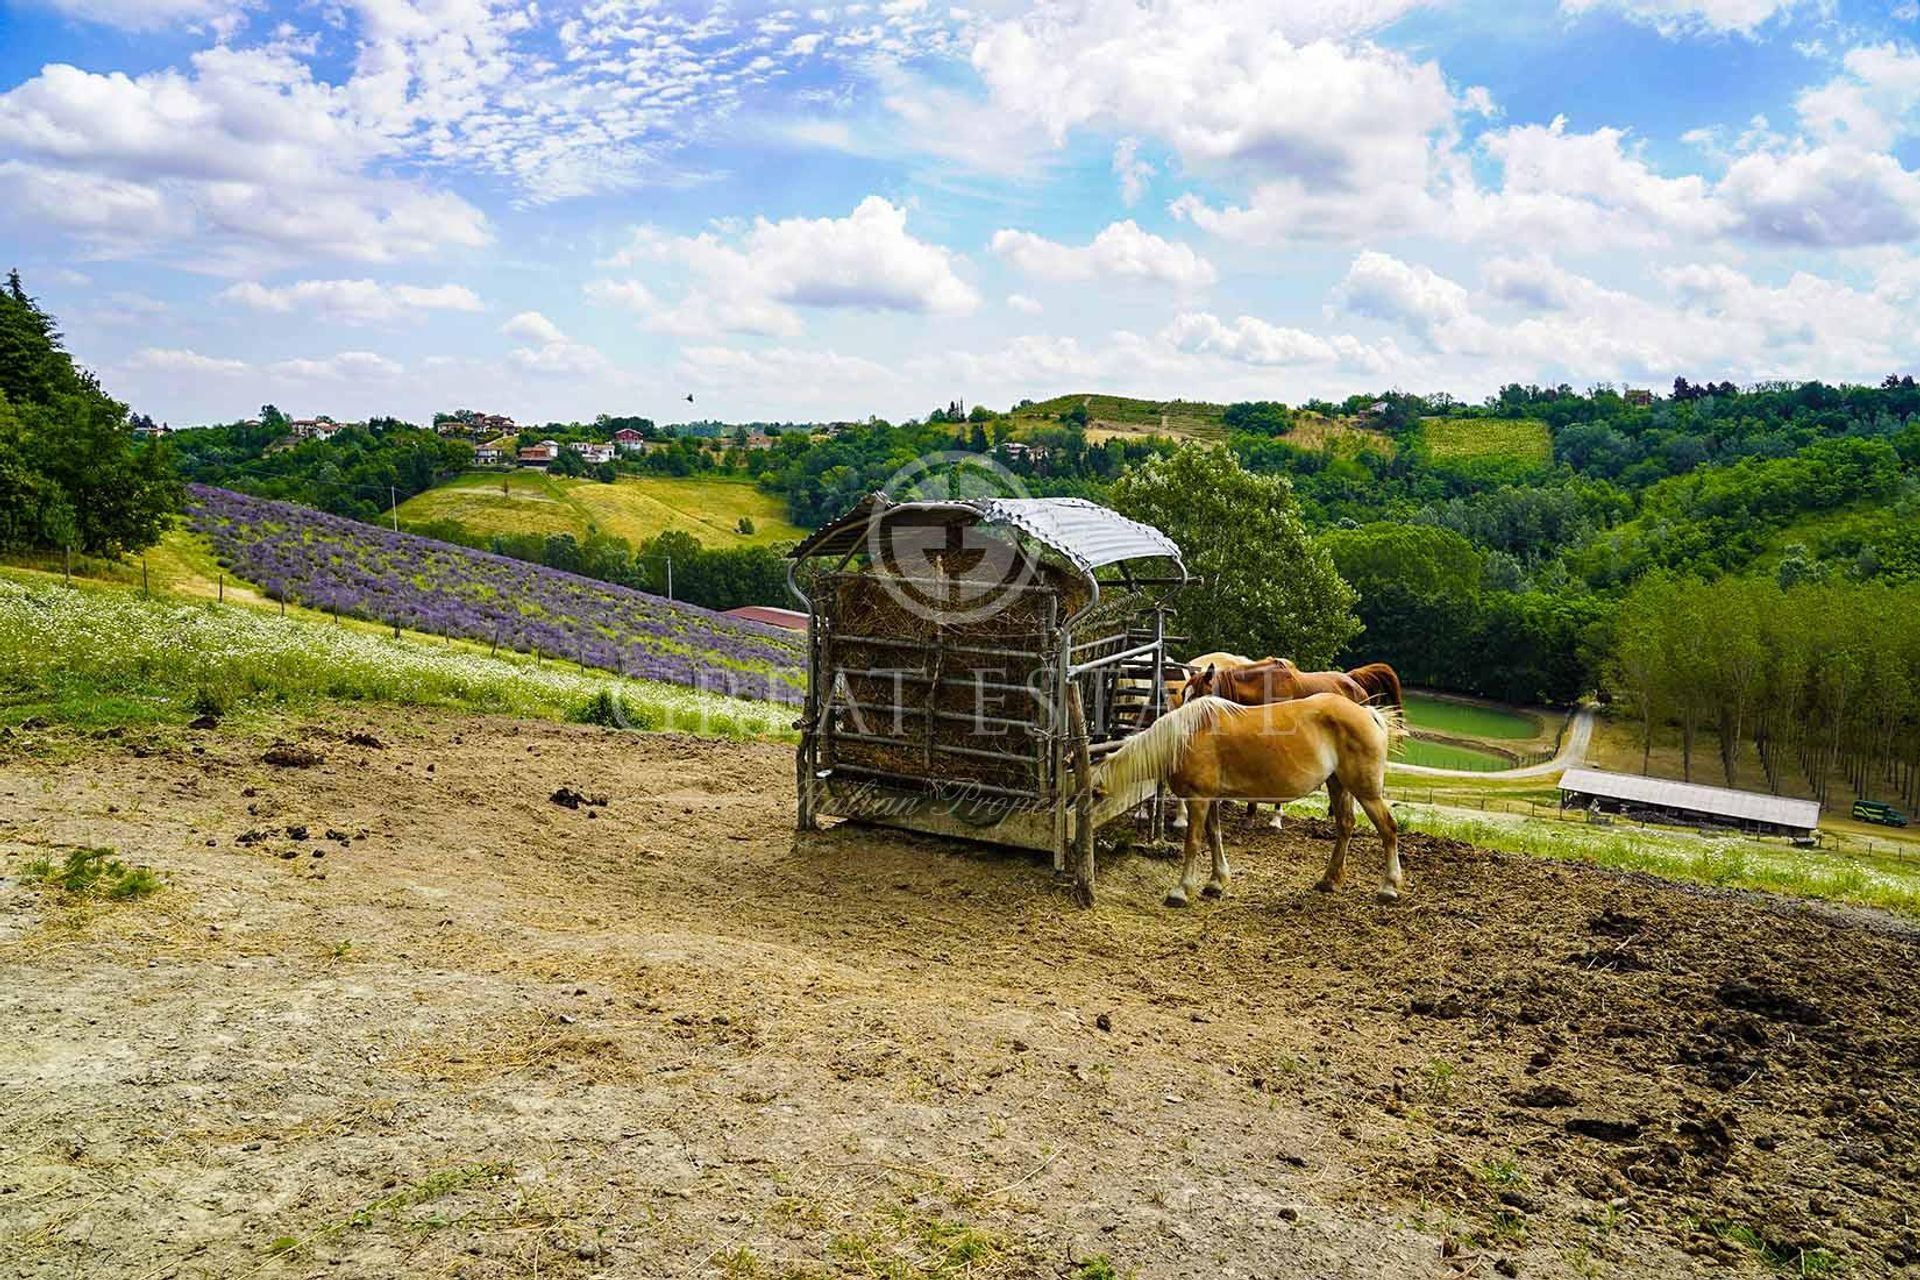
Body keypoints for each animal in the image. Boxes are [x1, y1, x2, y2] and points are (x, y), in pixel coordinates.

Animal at [1098, 694, 1413, 905]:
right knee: (1345, 826)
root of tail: (1367, 713)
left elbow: (1193, 843)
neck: (1186, 736)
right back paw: (1328, 880)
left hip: (1366, 792)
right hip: (1338, 785)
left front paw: (1181, 890)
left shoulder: (1198, 799)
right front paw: (1216, 882)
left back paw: (1388, 887)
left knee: (1388, 829)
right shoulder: (1211, 799)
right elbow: (1215, 836)